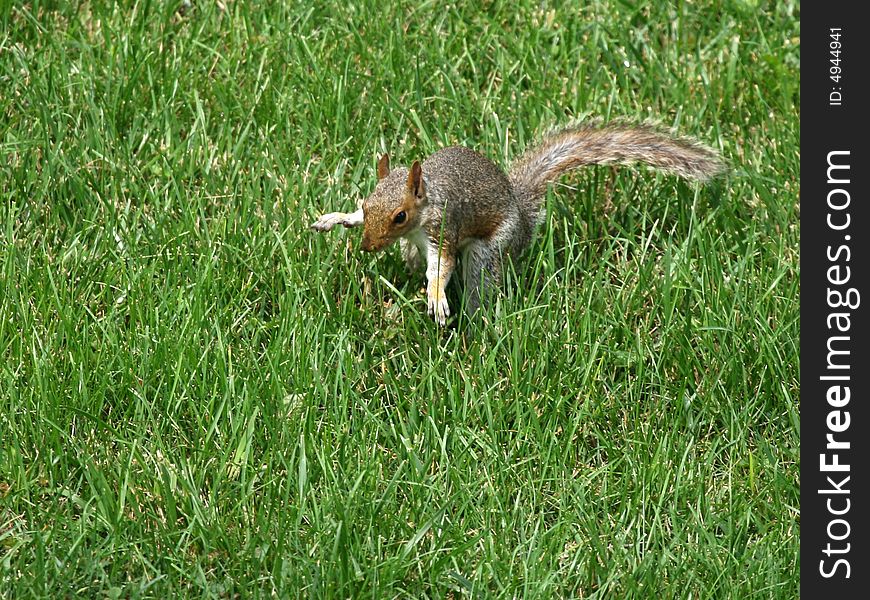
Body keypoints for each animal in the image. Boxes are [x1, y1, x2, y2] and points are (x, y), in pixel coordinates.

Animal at [310, 120, 724, 326]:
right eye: (366, 203)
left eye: (400, 216)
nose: (367, 247)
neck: (426, 201)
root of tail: (523, 218)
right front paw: (334, 218)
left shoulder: (444, 227)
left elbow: (442, 267)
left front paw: (437, 299)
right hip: (414, 251)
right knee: (414, 261)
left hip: (489, 249)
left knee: (478, 278)